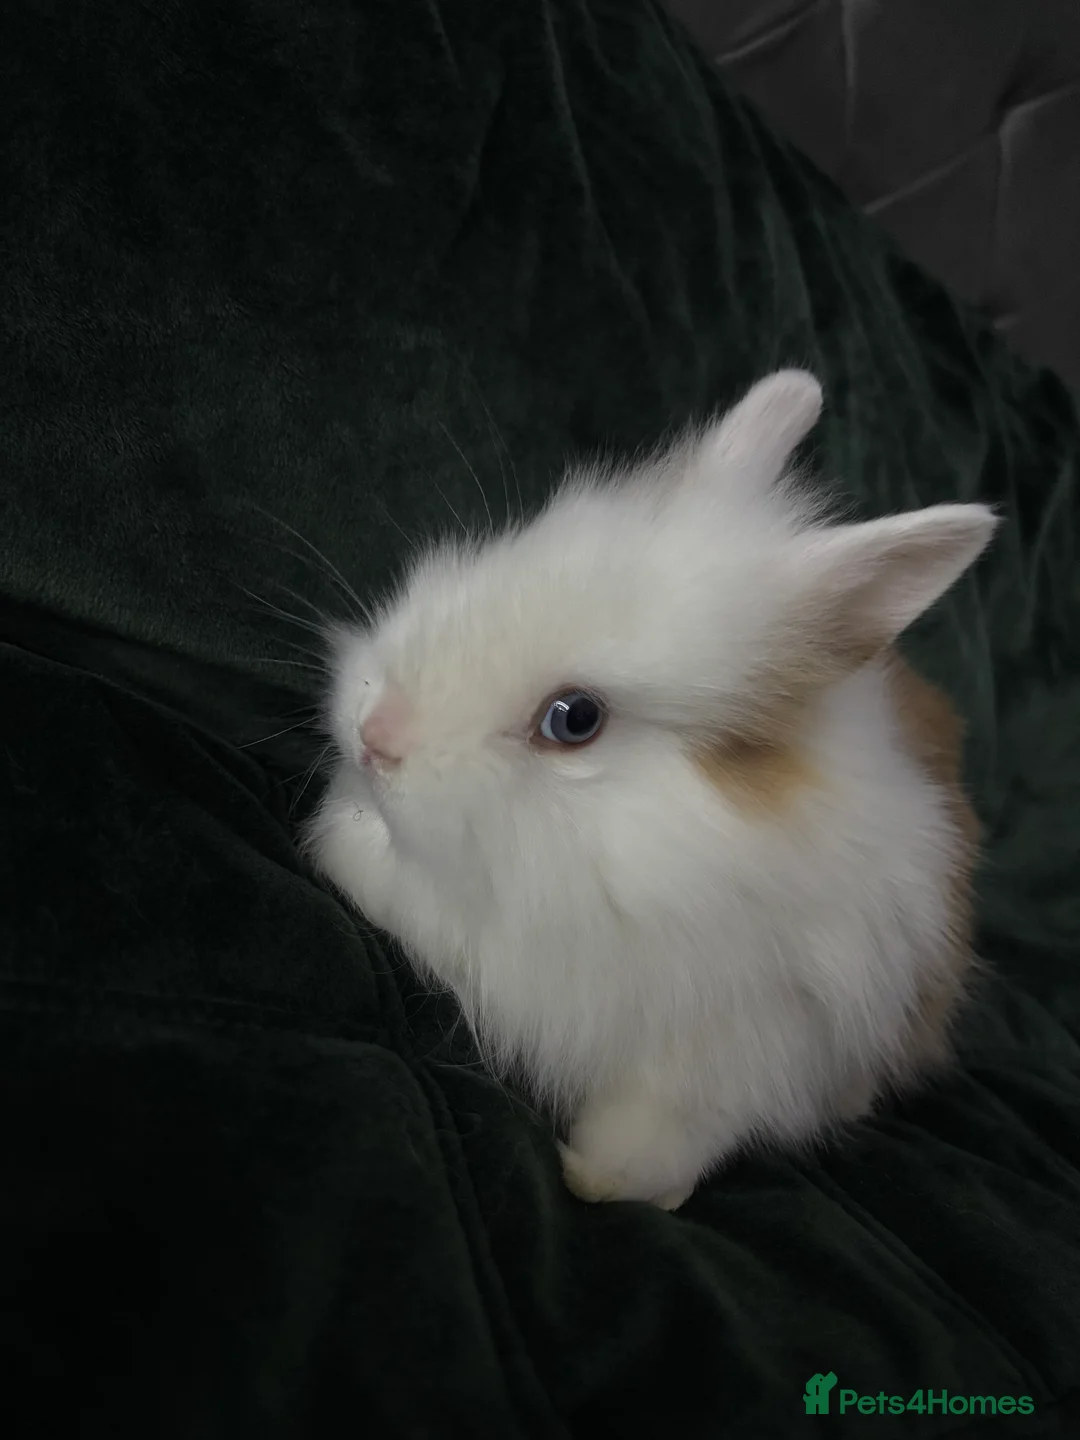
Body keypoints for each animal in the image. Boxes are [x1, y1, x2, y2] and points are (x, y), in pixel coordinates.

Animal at [304, 370, 996, 1211]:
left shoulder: (743, 1050)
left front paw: (598, 1178)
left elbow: (659, 1139)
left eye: (574, 719)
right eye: (499, 558)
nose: (374, 733)